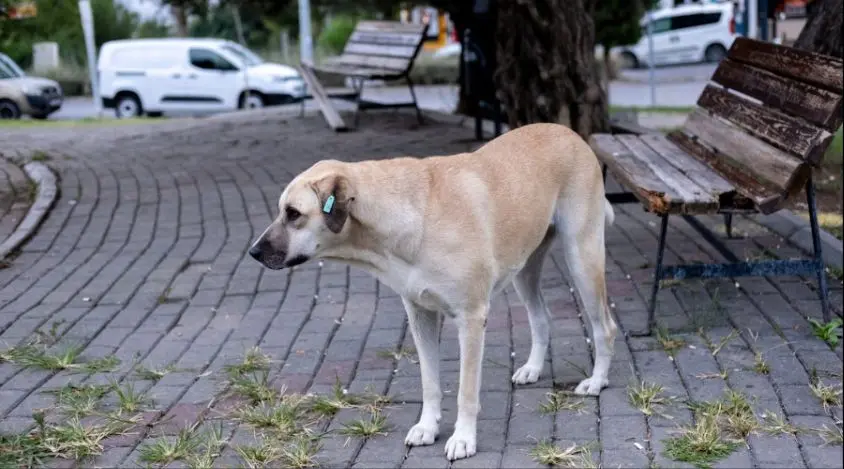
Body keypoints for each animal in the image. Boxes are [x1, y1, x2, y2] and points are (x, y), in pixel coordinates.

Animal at [247, 121, 616, 460]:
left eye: (293, 213)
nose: (253, 252)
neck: (410, 216)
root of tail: (567, 131)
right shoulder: (420, 315)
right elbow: (430, 382)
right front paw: (427, 427)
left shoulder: (471, 319)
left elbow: (466, 390)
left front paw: (463, 438)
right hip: (524, 269)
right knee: (541, 318)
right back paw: (533, 368)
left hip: (582, 258)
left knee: (605, 327)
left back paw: (597, 381)